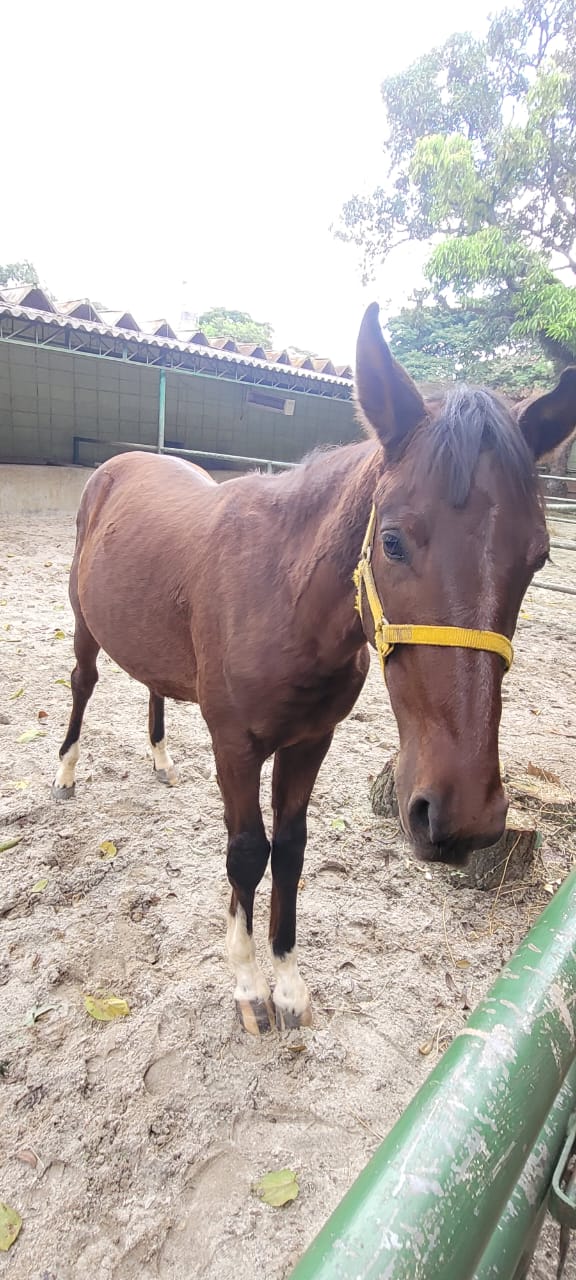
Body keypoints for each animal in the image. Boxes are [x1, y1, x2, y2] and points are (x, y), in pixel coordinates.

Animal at [54, 304, 576, 1034]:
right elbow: (247, 853)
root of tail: (119, 466)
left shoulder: (309, 742)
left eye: (538, 557)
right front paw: (249, 988)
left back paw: (159, 759)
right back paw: (66, 773)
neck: (281, 593)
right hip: (84, 625)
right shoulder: (235, 745)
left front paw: (289, 983)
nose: (463, 815)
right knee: (82, 685)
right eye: (392, 540)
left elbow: (292, 852)